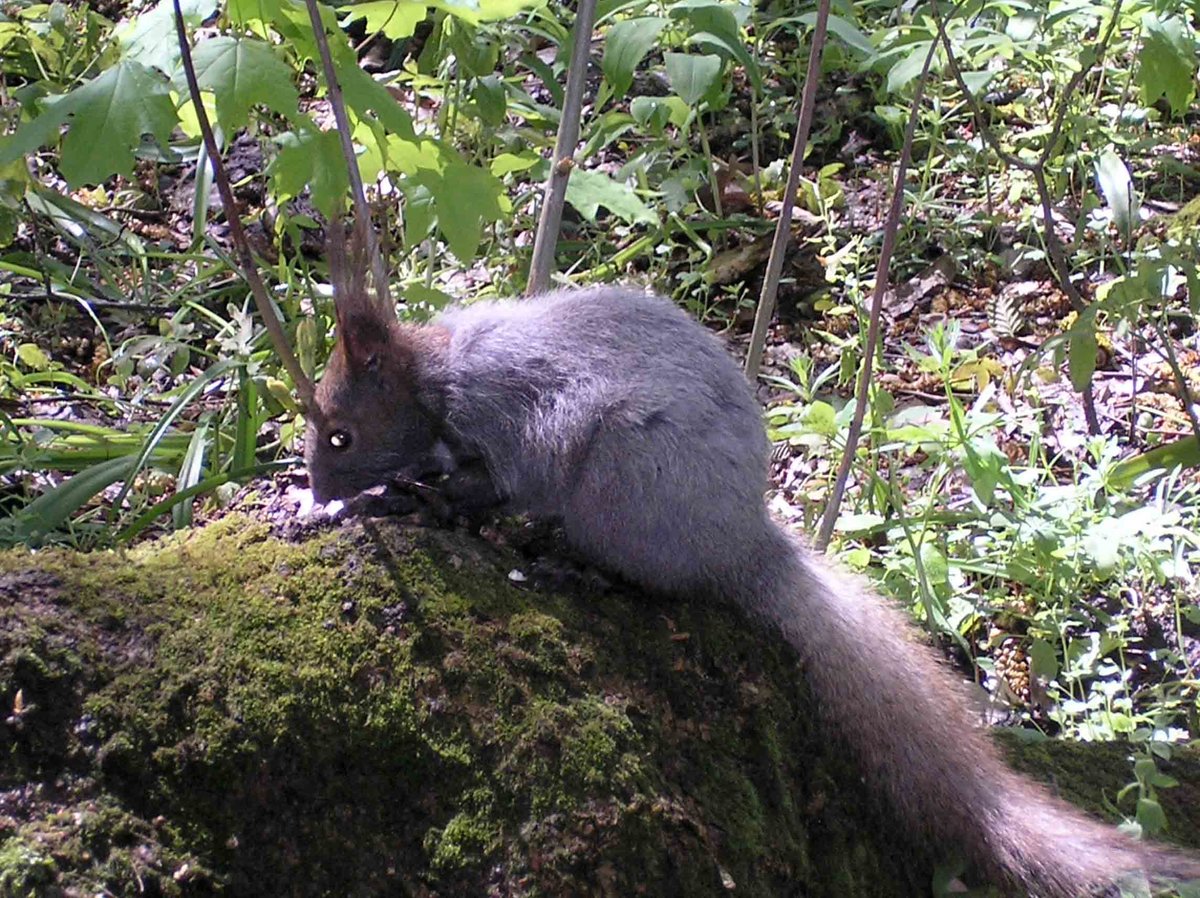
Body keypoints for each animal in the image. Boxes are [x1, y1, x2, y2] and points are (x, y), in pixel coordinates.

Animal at [304, 253, 1200, 896]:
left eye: (340, 433)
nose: (315, 487)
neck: (434, 377)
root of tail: (740, 543)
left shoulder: (513, 418)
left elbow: (492, 485)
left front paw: (420, 502)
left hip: (622, 486)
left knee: (652, 580)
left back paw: (577, 570)